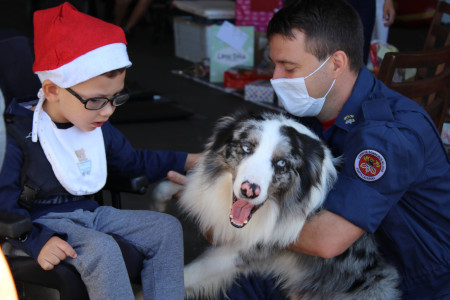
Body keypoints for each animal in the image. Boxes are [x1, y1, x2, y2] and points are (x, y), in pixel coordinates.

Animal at [155, 110, 400, 300]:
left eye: (281, 163)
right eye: (246, 148)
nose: (249, 190)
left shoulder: (248, 250)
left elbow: (185, 275)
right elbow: (174, 185)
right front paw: (159, 202)